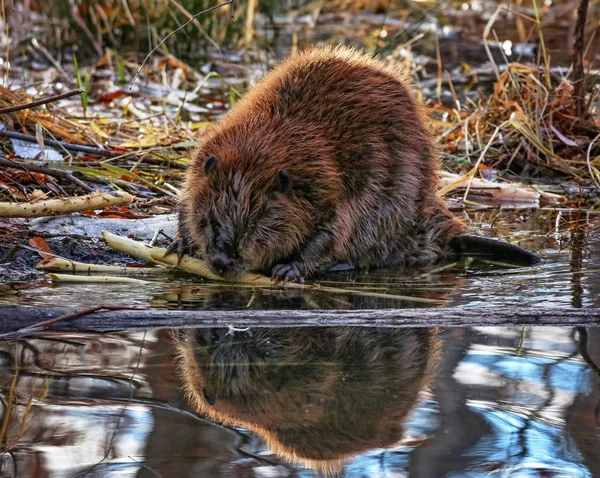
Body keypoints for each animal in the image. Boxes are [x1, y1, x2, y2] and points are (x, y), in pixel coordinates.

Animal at [169, 43, 540, 282]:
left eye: (256, 222)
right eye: (210, 218)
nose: (221, 260)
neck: (263, 147)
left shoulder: (330, 186)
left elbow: (333, 231)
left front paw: (289, 270)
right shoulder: (204, 161)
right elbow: (185, 200)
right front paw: (179, 243)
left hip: (394, 206)